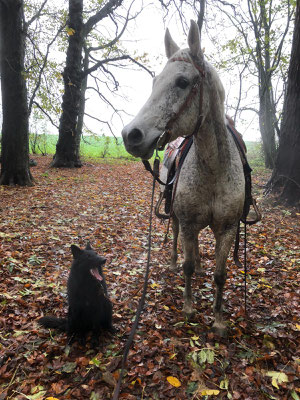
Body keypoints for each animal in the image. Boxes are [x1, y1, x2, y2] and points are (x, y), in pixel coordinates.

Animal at [120, 20, 245, 336]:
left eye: (182, 82)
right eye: (155, 82)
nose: (131, 135)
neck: (214, 168)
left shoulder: (227, 229)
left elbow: (221, 274)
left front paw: (218, 320)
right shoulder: (187, 221)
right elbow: (187, 262)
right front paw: (189, 308)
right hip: (175, 213)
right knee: (177, 237)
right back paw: (176, 261)